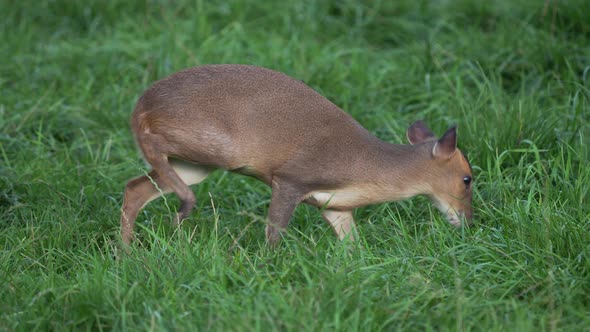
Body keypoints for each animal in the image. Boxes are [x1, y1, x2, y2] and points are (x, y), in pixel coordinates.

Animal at [121, 65, 476, 246]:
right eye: (467, 178)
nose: (468, 222)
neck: (369, 167)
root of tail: (143, 103)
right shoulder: (291, 178)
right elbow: (274, 233)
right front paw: (266, 267)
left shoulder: (335, 206)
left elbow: (353, 246)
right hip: (216, 147)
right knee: (150, 153)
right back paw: (179, 213)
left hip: (196, 164)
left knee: (135, 187)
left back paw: (127, 252)